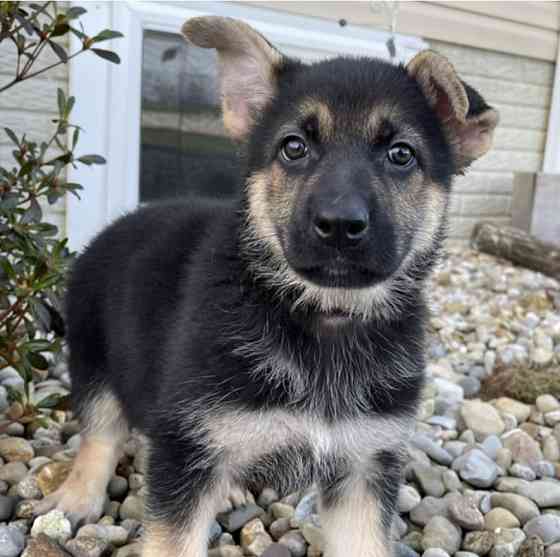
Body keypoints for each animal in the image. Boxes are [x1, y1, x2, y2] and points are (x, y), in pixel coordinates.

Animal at [35, 16, 498, 556]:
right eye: (294, 147)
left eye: (401, 155)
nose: (339, 225)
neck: (323, 317)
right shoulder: (188, 445)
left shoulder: (364, 463)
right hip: (96, 356)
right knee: (101, 432)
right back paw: (77, 497)